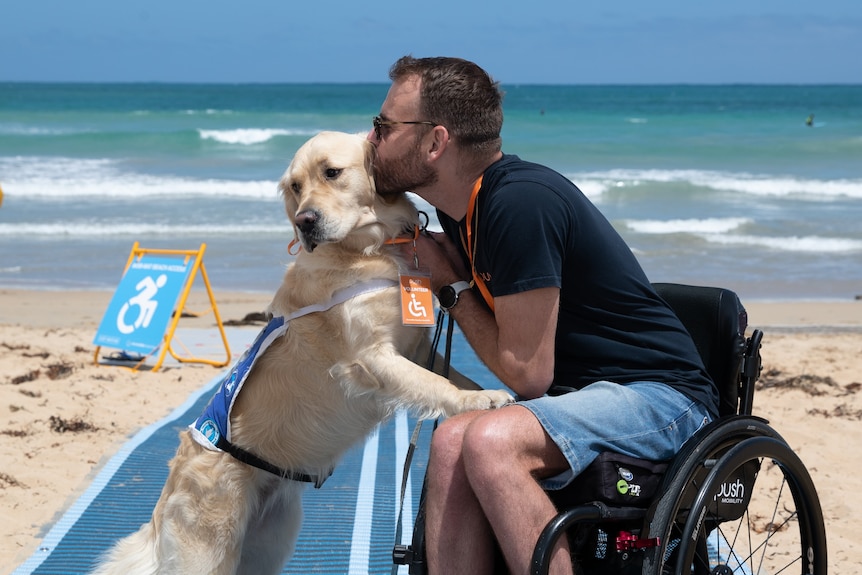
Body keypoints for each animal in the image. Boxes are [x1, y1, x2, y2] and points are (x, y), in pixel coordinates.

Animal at [94, 132, 512, 575]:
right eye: (295, 186)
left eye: (332, 172)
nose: (304, 221)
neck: (369, 249)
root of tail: (164, 500)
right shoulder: (372, 357)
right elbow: (437, 383)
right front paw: (479, 400)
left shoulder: (413, 350)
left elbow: (449, 376)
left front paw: (486, 393)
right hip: (210, 550)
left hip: (268, 542)